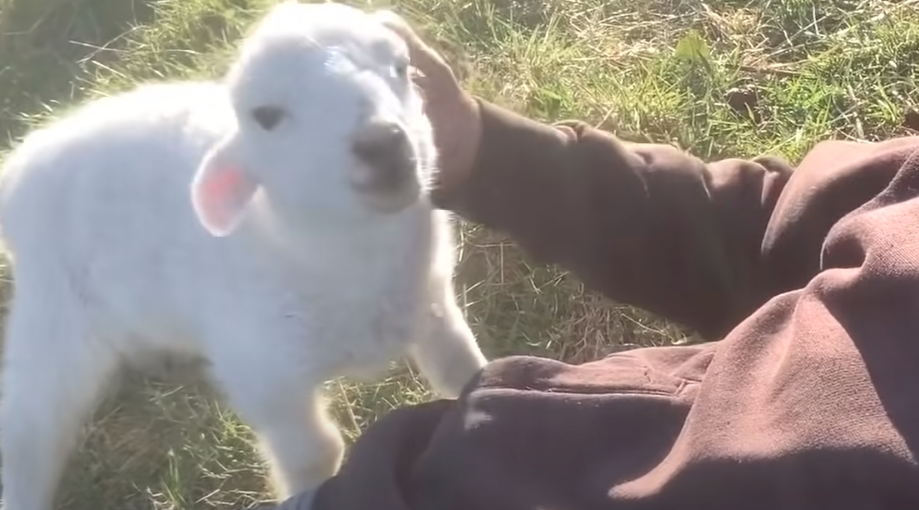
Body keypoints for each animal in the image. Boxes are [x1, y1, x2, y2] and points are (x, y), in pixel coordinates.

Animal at [0, 2, 488, 510]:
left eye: (401, 67)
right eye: (266, 116)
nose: (381, 143)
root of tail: (18, 166)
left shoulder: (431, 301)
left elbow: (461, 369)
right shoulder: (265, 377)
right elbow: (315, 454)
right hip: (54, 319)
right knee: (27, 431)